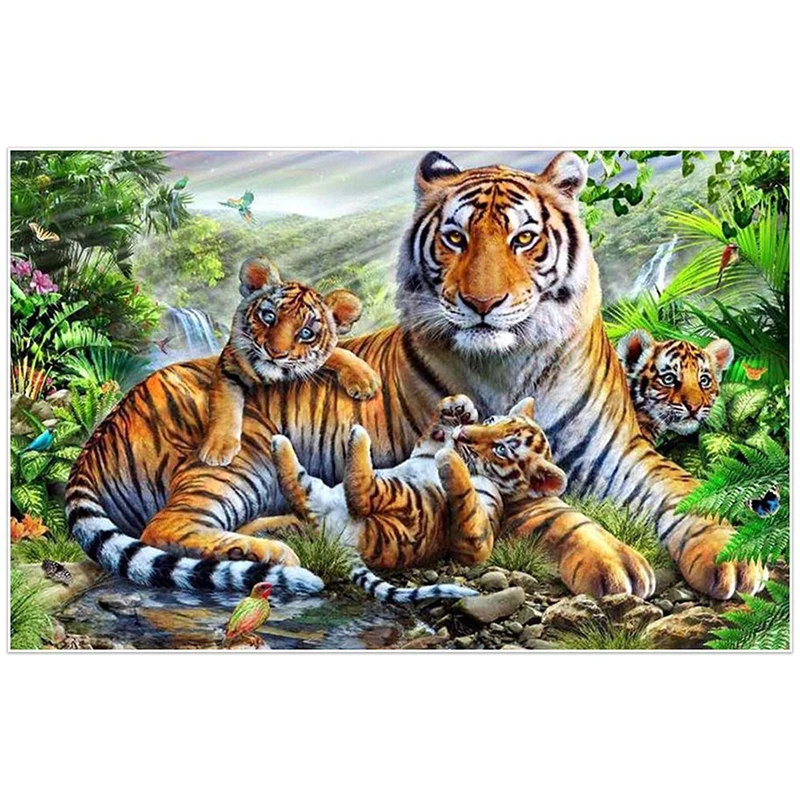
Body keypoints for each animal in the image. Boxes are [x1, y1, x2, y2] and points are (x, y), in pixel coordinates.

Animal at [198, 256, 380, 466]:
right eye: (269, 316)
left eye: (306, 333)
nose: (275, 353)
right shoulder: (229, 366)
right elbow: (225, 404)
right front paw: (218, 447)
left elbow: (336, 353)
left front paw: (365, 379)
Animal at [271, 395, 566, 601]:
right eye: (492, 421)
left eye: (501, 449)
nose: (463, 433)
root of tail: (339, 542)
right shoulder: (425, 448)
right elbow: (433, 433)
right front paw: (459, 406)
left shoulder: (478, 540)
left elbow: (468, 501)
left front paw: (450, 459)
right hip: (320, 494)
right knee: (297, 489)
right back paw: (279, 443)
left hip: (407, 503)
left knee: (363, 494)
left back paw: (358, 435)